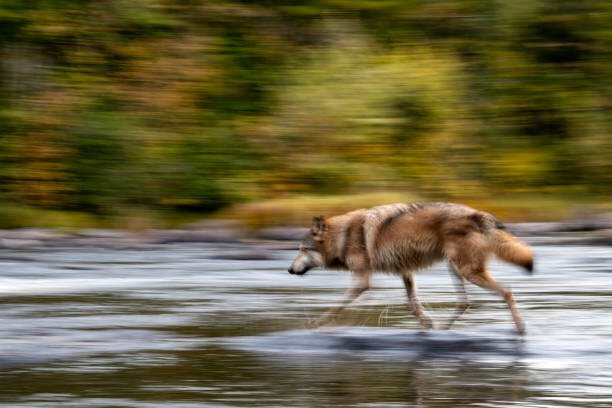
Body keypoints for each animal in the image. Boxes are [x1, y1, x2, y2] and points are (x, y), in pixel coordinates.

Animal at [286, 202, 532, 334]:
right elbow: (413, 305)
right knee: (466, 302)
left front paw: (316, 323)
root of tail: (480, 215)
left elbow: (337, 306)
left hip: (468, 272)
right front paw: (426, 324)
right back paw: (443, 328)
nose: (289, 270)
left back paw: (520, 330)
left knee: (507, 293)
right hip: (457, 270)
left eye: (302, 249)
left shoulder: (362, 281)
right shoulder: (406, 272)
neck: (343, 237)